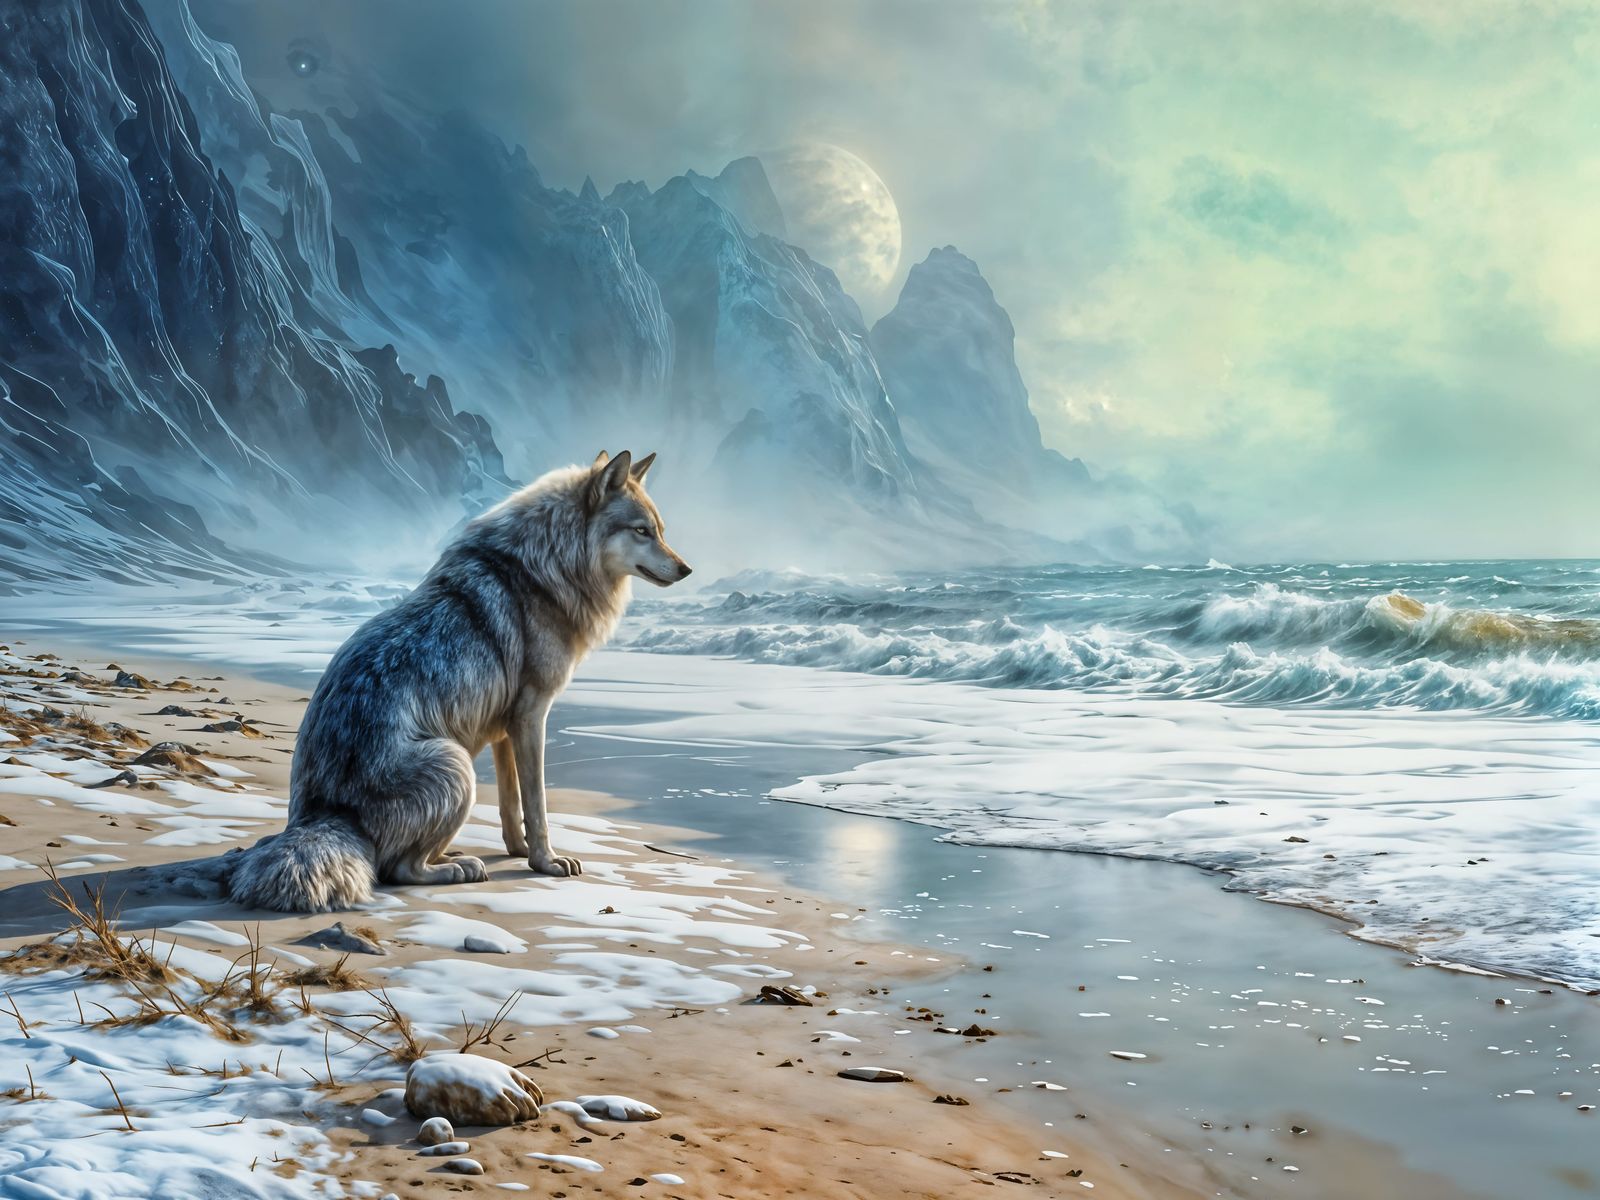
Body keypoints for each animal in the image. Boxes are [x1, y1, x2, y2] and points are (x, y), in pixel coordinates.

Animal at [228, 450, 692, 912]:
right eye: (642, 531)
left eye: (660, 531)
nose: (687, 569)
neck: (548, 564)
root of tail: (327, 814)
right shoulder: (531, 716)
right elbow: (537, 804)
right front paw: (546, 862)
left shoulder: (505, 727)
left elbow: (510, 805)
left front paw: (519, 851)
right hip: (456, 764)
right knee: (397, 869)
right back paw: (458, 868)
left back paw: (451, 855)